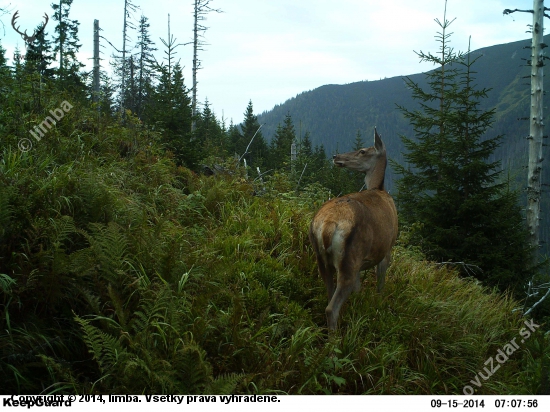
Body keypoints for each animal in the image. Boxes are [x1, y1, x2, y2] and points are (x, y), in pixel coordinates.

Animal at [310, 130, 396, 330]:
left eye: (362, 151)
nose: (336, 157)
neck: (379, 189)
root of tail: (328, 225)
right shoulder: (387, 249)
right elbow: (380, 284)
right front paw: (378, 306)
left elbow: (358, 291)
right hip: (350, 259)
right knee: (331, 308)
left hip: (322, 259)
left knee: (329, 295)